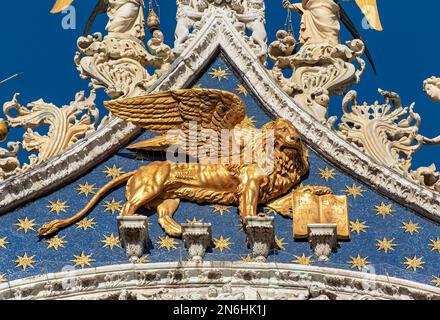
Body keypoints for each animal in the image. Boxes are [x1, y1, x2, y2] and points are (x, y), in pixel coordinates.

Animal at [38, 89, 334, 238]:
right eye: (281, 130)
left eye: (294, 130)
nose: (296, 138)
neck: (280, 159)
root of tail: (140, 168)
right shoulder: (250, 184)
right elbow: (248, 206)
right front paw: (253, 219)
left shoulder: (270, 194)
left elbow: (289, 199)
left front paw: (317, 193)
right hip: (149, 187)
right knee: (127, 206)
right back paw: (132, 222)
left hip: (170, 198)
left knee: (162, 214)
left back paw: (179, 229)